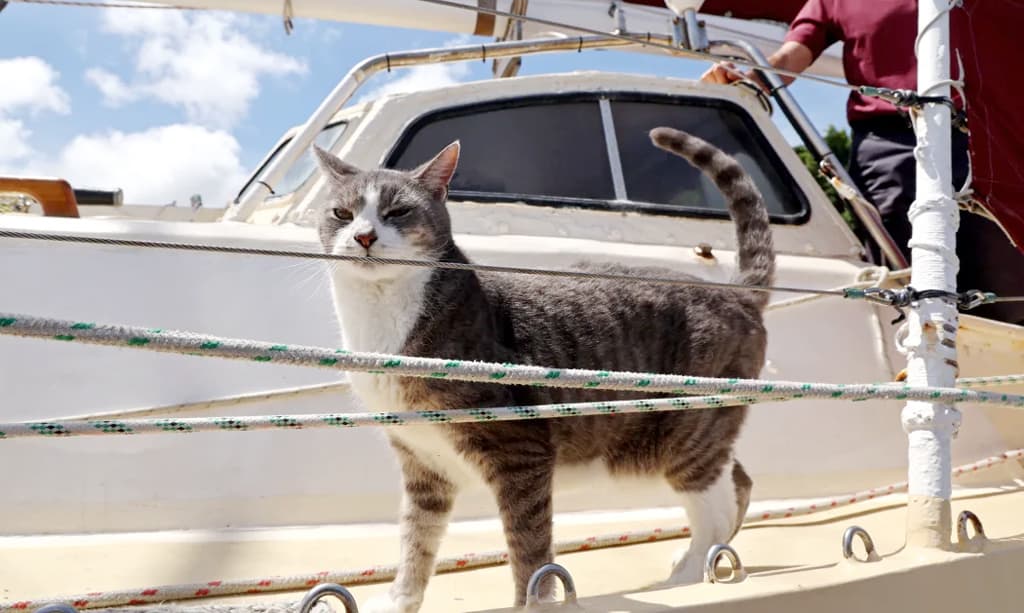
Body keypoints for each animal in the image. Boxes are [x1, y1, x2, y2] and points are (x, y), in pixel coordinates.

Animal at [315, 126, 770, 609]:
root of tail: (737, 292)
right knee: (738, 480)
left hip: (687, 431)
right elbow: (416, 540)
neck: (385, 319)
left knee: (714, 505)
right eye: (341, 213)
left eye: (398, 211)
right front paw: (400, 600)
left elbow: (528, 545)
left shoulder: (520, 451)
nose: (364, 236)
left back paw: (691, 575)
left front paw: (532, 602)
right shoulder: (424, 464)